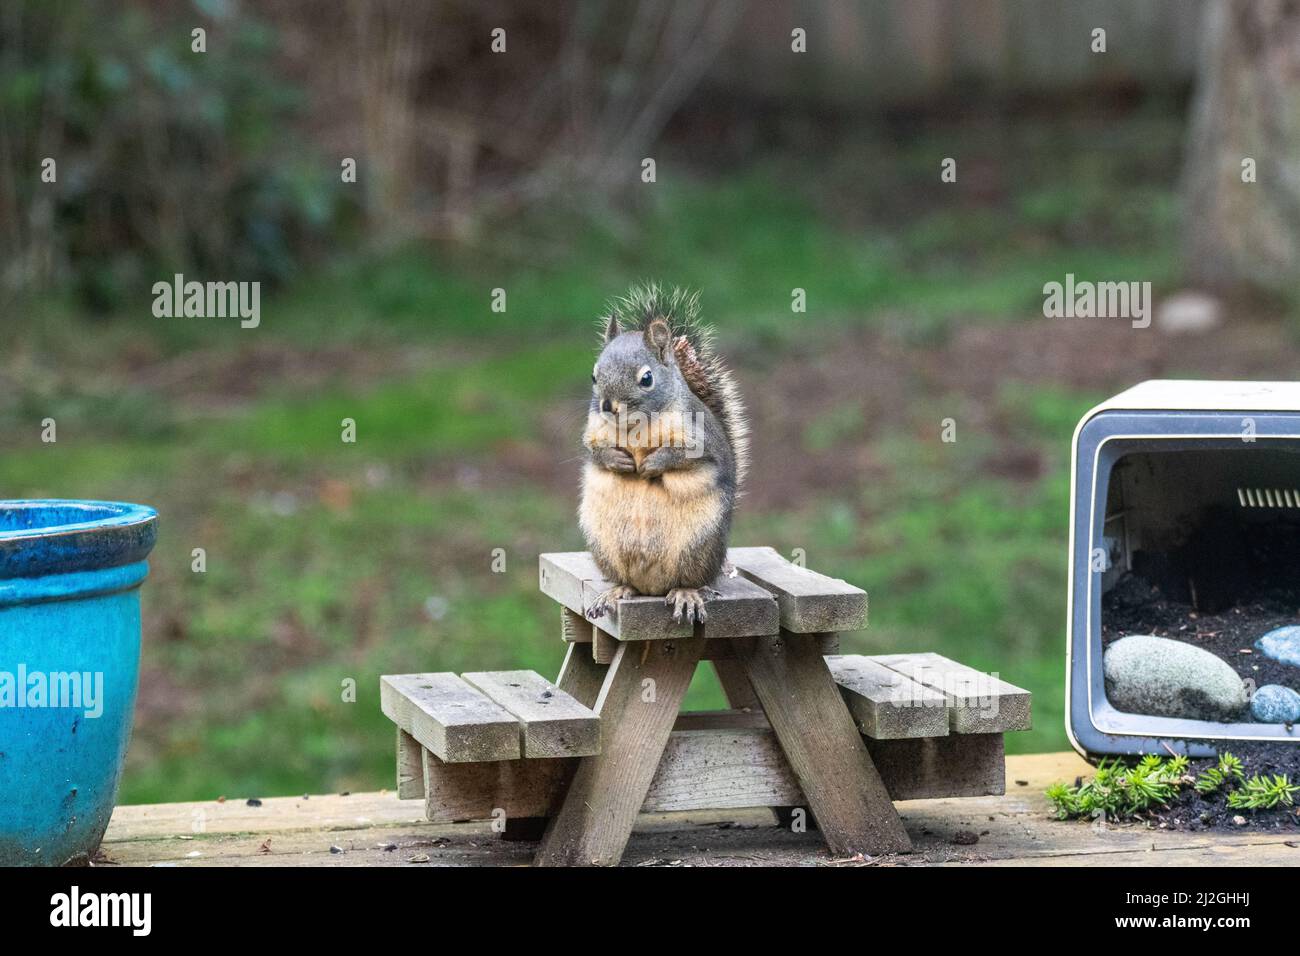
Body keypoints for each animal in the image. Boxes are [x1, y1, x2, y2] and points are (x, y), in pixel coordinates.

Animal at [580, 284, 748, 625]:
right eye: (593, 376)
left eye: (646, 378)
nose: (608, 406)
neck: (635, 427)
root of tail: (653, 587)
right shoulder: (593, 430)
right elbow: (594, 450)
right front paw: (618, 460)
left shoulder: (698, 436)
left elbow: (682, 456)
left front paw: (651, 464)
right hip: (604, 544)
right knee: (627, 582)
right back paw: (617, 591)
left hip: (697, 546)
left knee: (688, 579)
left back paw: (686, 593)